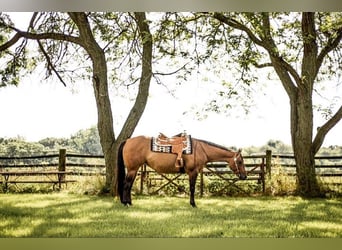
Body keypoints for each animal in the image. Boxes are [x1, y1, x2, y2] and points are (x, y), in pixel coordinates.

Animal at [116, 134, 247, 208]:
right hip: (132, 169)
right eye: (240, 161)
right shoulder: (193, 172)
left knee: (129, 185)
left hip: (134, 169)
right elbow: (192, 188)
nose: (244, 176)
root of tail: (127, 141)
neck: (201, 149)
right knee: (126, 185)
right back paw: (125, 203)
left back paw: (129, 202)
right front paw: (193, 204)